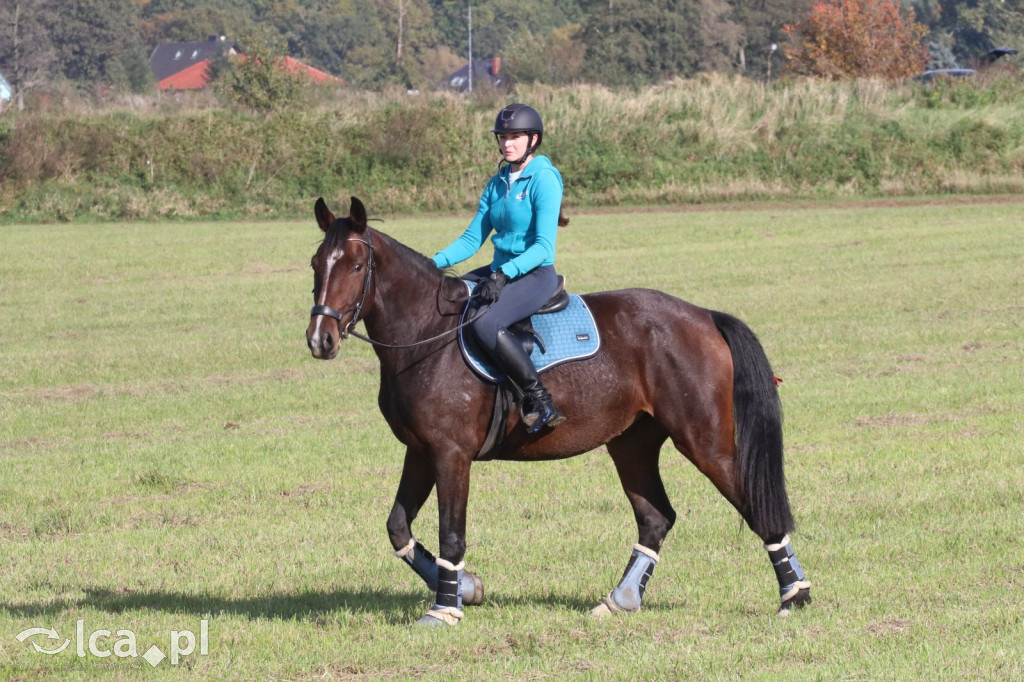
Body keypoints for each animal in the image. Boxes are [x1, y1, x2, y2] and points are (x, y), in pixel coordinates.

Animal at [305, 195, 815, 622]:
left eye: (356, 265)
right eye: (315, 264)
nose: (319, 340)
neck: (427, 334)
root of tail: (703, 316)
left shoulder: (451, 454)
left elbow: (452, 531)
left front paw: (445, 608)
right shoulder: (420, 450)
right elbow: (398, 527)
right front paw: (466, 587)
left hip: (705, 442)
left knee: (755, 507)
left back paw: (795, 595)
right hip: (632, 443)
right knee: (656, 518)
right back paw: (620, 600)